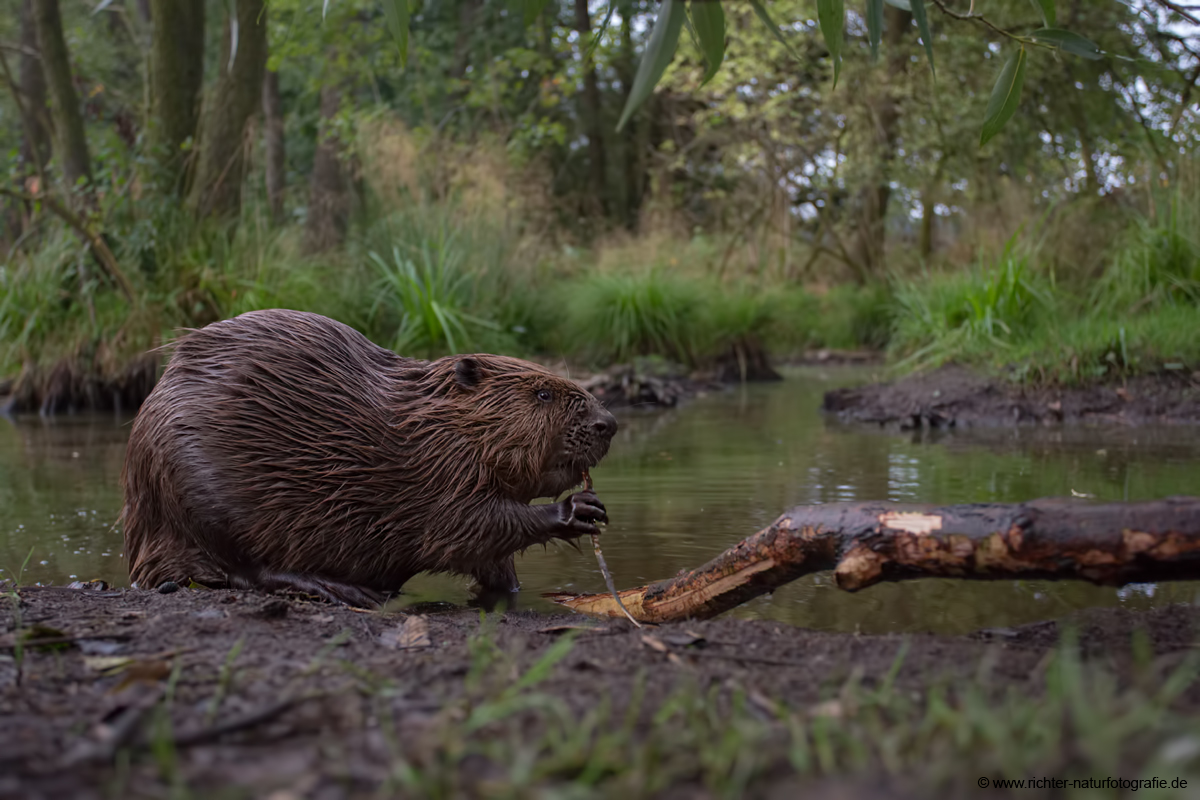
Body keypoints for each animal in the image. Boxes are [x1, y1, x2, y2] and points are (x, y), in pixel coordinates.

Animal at [121, 309, 619, 606]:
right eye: (542, 393)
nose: (608, 423)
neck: (432, 425)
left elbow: (493, 562)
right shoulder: (437, 474)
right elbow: (468, 526)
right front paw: (576, 508)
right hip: (193, 490)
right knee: (242, 570)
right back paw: (343, 589)